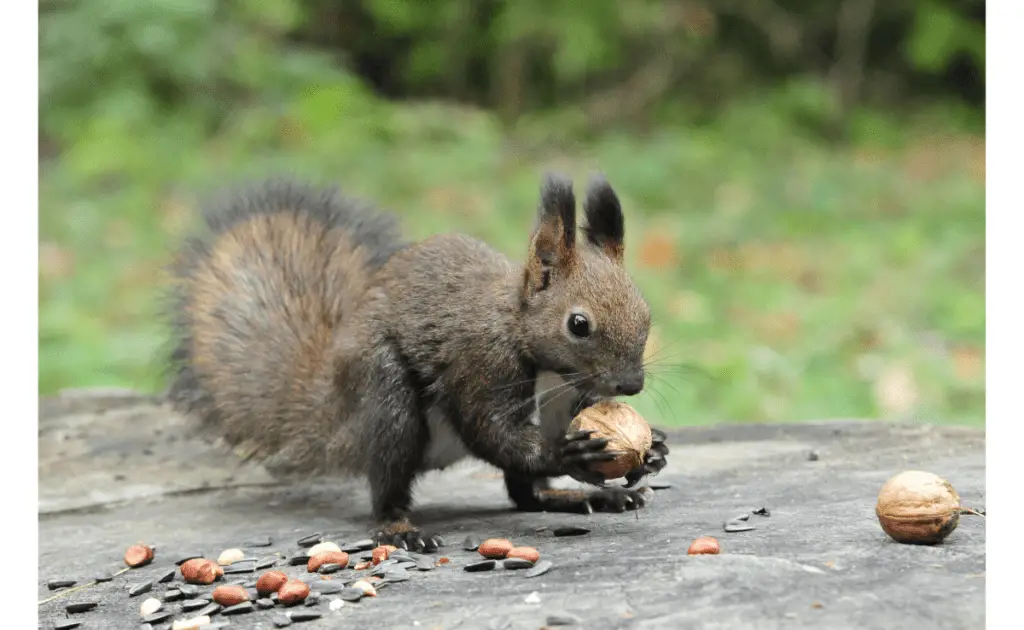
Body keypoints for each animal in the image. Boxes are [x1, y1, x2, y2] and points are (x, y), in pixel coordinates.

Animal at [163, 174, 667, 553]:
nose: (631, 384)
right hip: (387, 400)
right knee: (389, 481)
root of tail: (334, 412)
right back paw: (399, 529)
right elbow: (491, 431)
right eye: (578, 324)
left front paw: (653, 449)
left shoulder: (570, 396)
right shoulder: (479, 362)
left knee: (525, 495)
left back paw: (582, 497)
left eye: (646, 312)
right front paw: (569, 454)